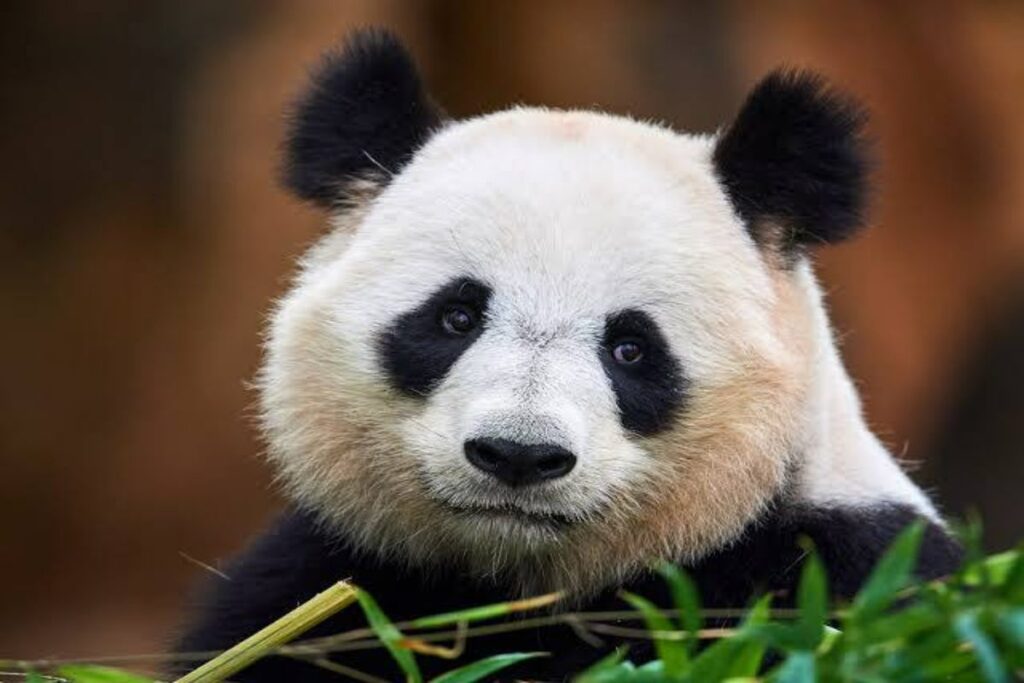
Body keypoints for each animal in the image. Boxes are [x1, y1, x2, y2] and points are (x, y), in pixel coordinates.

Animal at [174, 29, 958, 679]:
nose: (518, 454)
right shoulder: (330, 579)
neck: (517, 583)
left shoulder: (838, 574)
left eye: (631, 347)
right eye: (456, 316)